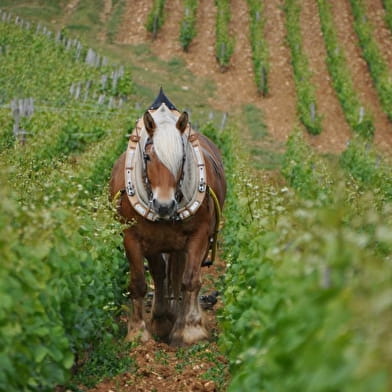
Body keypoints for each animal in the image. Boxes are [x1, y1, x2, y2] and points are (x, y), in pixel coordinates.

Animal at [110, 89, 227, 346]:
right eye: (147, 157)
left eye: (182, 159)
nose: (164, 206)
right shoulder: (133, 238)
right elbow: (140, 283)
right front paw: (138, 332)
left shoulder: (199, 235)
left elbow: (190, 280)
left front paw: (190, 330)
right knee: (161, 274)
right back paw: (162, 317)